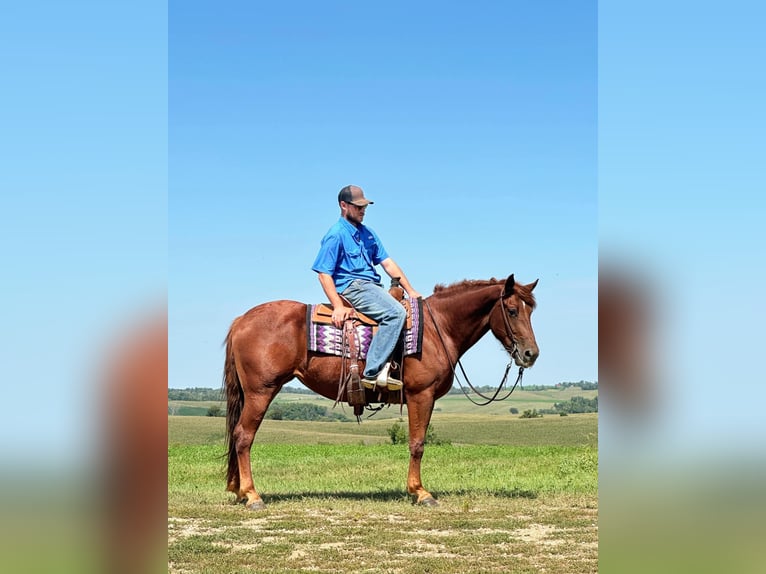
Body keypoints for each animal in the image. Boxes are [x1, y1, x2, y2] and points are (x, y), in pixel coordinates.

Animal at [223, 273, 539, 509]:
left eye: (531, 311)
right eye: (512, 311)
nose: (530, 354)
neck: (437, 329)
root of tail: (241, 320)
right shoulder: (420, 395)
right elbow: (417, 443)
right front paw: (420, 492)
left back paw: (239, 491)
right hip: (261, 391)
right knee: (243, 437)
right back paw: (252, 495)